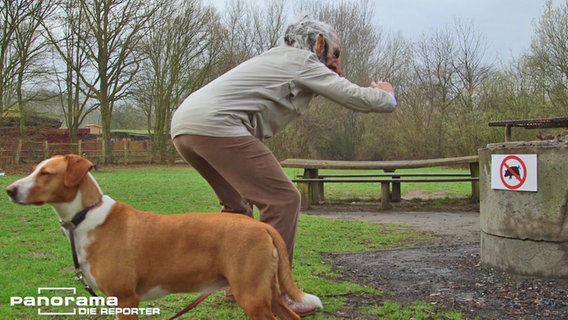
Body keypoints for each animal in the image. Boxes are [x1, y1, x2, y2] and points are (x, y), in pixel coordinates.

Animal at [4, 154, 322, 318]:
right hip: (267, 291)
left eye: (46, 173)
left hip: (252, 296)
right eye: (34, 170)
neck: (85, 216)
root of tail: (263, 227)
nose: (9, 190)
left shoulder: (125, 299)